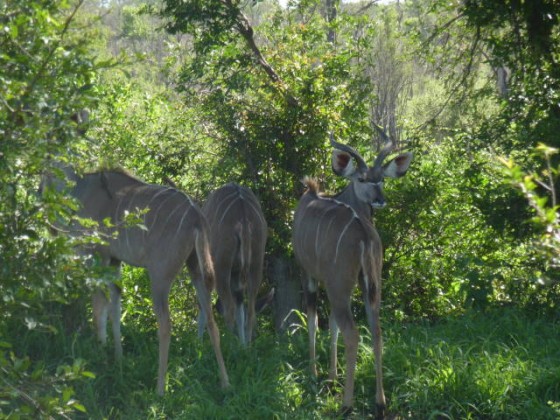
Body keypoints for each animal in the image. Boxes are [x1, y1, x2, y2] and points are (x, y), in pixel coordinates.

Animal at [41, 164, 230, 396]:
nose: (38, 192)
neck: (79, 188)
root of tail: (197, 217)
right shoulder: (114, 261)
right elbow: (114, 306)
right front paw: (118, 358)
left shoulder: (97, 255)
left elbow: (99, 306)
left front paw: (99, 352)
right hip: (196, 269)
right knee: (211, 321)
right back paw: (225, 383)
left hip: (159, 275)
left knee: (165, 325)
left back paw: (160, 389)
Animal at [201, 183, 271, 345]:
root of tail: (244, 221)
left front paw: (196, 341)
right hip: (256, 264)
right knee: (249, 310)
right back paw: (246, 346)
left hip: (222, 267)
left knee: (229, 309)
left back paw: (229, 345)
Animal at [292, 131, 413, 418]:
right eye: (362, 178)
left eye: (382, 179)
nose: (380, 199)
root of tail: (365, 237)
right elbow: (333, 326)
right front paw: (331, 378)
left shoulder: (309, 274)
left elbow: (314, 321)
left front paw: (316, 375)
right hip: (372, 285)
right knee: (376, 329)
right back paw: (380, 403)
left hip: (340, 286)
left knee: (353, 333)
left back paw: (346, 405)